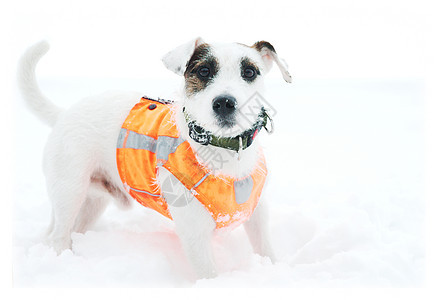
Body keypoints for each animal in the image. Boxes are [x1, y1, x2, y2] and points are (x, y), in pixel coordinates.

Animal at [18, 38, 290, 278]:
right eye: (204, 70)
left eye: (249, 71)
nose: (224, 102)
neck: (225, 151)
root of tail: (63, 114)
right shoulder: (195, 233)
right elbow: (209, 274)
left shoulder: (257, 214)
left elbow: (265, 249)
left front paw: (273, 269)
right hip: (70, 192)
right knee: (59, 236)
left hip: (90, 203)